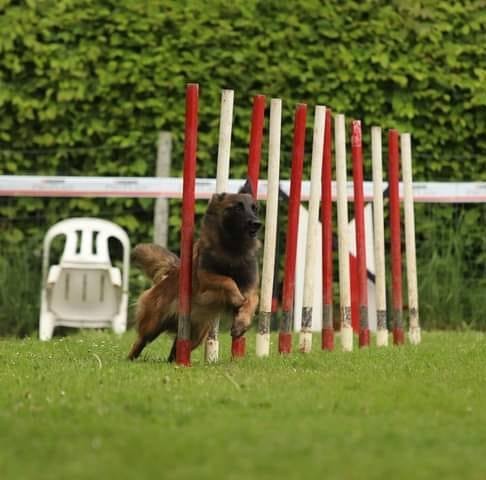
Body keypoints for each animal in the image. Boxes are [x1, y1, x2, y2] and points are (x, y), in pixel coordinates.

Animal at [127, 180, 260, 360]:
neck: (234, 250)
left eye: (254, 208)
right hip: (153, 324)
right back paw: (130, 358)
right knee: (140, 340)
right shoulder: (205, 277)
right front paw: (237, 298)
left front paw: (241, 323)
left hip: (196, 336)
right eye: (238, 207)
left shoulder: (250, 287)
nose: (257, 223)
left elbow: (253, 300)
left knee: (175, 350)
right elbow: (227, 280)